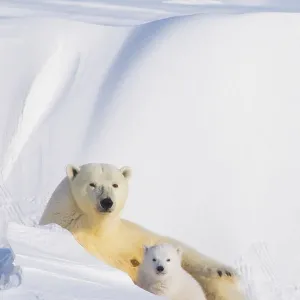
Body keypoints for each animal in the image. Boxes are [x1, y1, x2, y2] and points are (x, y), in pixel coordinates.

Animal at [39, 164, 246, 300]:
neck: (97, 227)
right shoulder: (76, 235)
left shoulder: (129, 235)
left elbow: (169, 247)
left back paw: (224, 272)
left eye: (115, 185)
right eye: (92, 184)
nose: (107, 202)